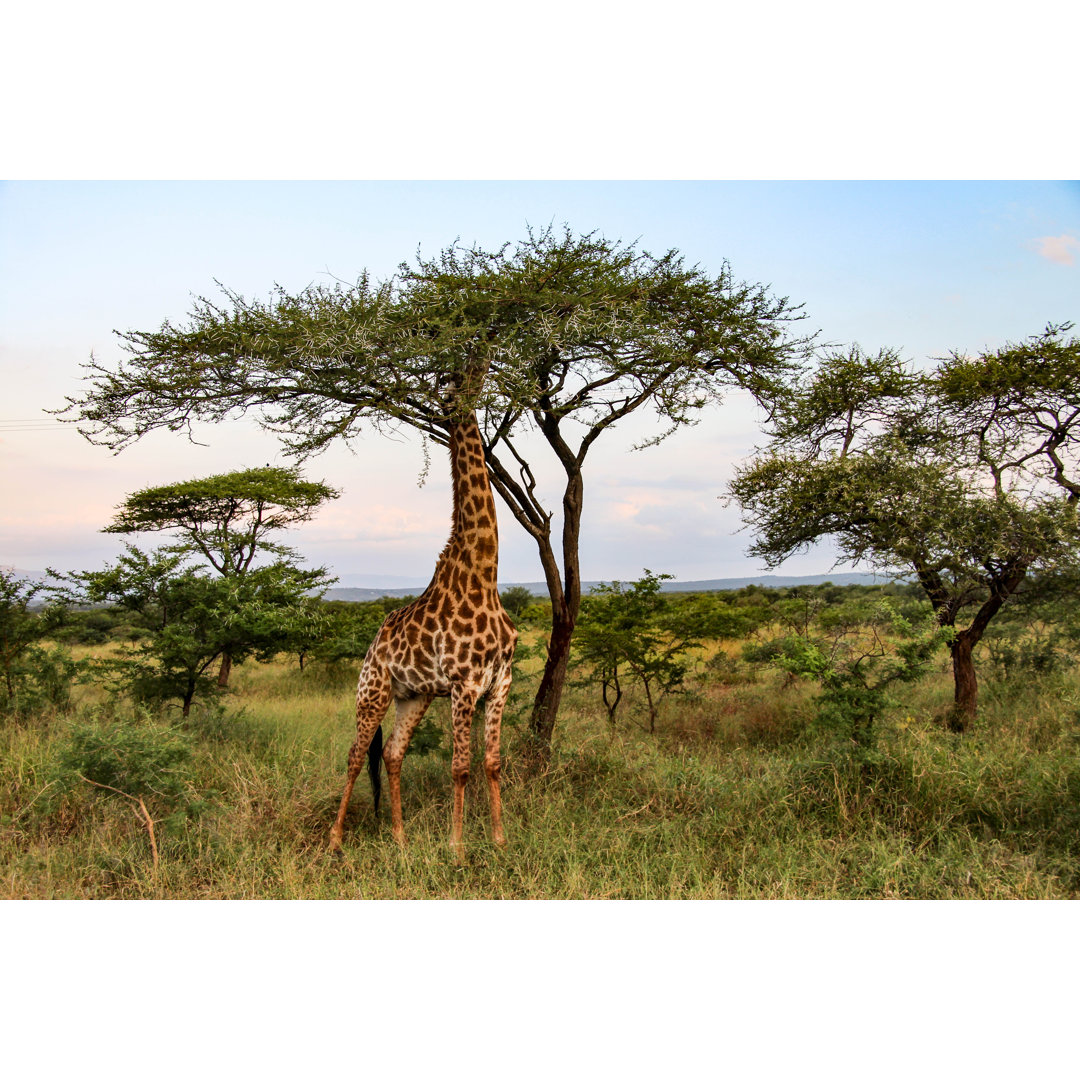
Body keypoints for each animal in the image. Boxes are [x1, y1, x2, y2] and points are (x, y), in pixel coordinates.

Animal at [328, 406, 518, 860]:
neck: (484, 575)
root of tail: (371, 647)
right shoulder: (465, 684)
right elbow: (461, 767)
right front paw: (457, 847)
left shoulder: (501, 682)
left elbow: (492, 763)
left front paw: (500, 840)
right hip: (372, 691)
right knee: (356, 755)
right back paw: (335, 839)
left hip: (414, 696)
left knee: (393, 753)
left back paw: (399, 838)